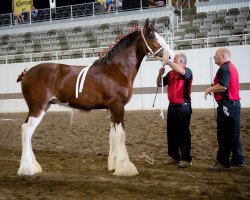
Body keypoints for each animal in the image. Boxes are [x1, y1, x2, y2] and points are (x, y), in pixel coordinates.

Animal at [16, 18, 175, 177]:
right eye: (152, 36)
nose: (171, 56)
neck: (116, 70)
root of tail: (26, 73)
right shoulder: (118, 106)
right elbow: (121, 135)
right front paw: (125, 168)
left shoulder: (113, 109)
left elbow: (113, 135)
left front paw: (114, 165)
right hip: (38, 108)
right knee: (26, 131)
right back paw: (27, 168)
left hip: (42, 107)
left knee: (26, 131)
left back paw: (34, 165)